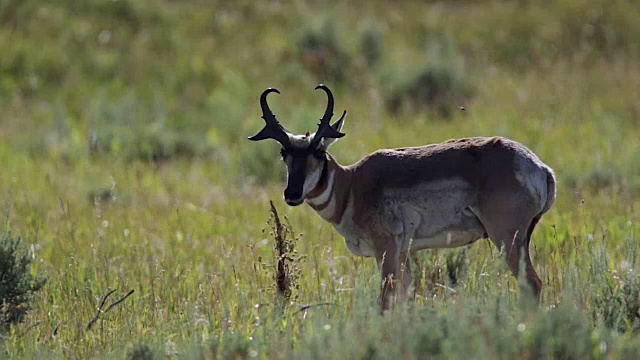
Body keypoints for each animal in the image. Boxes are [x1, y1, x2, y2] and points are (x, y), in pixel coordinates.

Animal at [249, 84, 556, 310]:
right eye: (284, 153)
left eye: (318, 151)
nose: (292, 194)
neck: (353, 185)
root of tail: (540, 166)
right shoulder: (404, 254)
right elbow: (404, 301)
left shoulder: (386, 250)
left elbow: (385, 303)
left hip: (506, 239)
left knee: (533, 284)